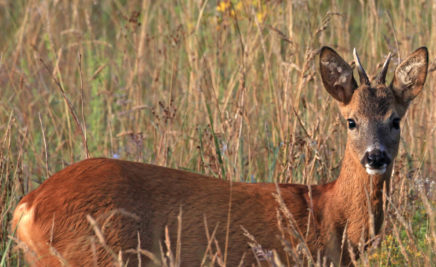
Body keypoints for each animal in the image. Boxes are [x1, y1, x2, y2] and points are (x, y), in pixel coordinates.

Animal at [11, 47, 430, 266]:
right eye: (351, 121)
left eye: (395, 120)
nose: (375, 157)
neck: (330, 216)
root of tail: (27, 206)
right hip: (97, 255)